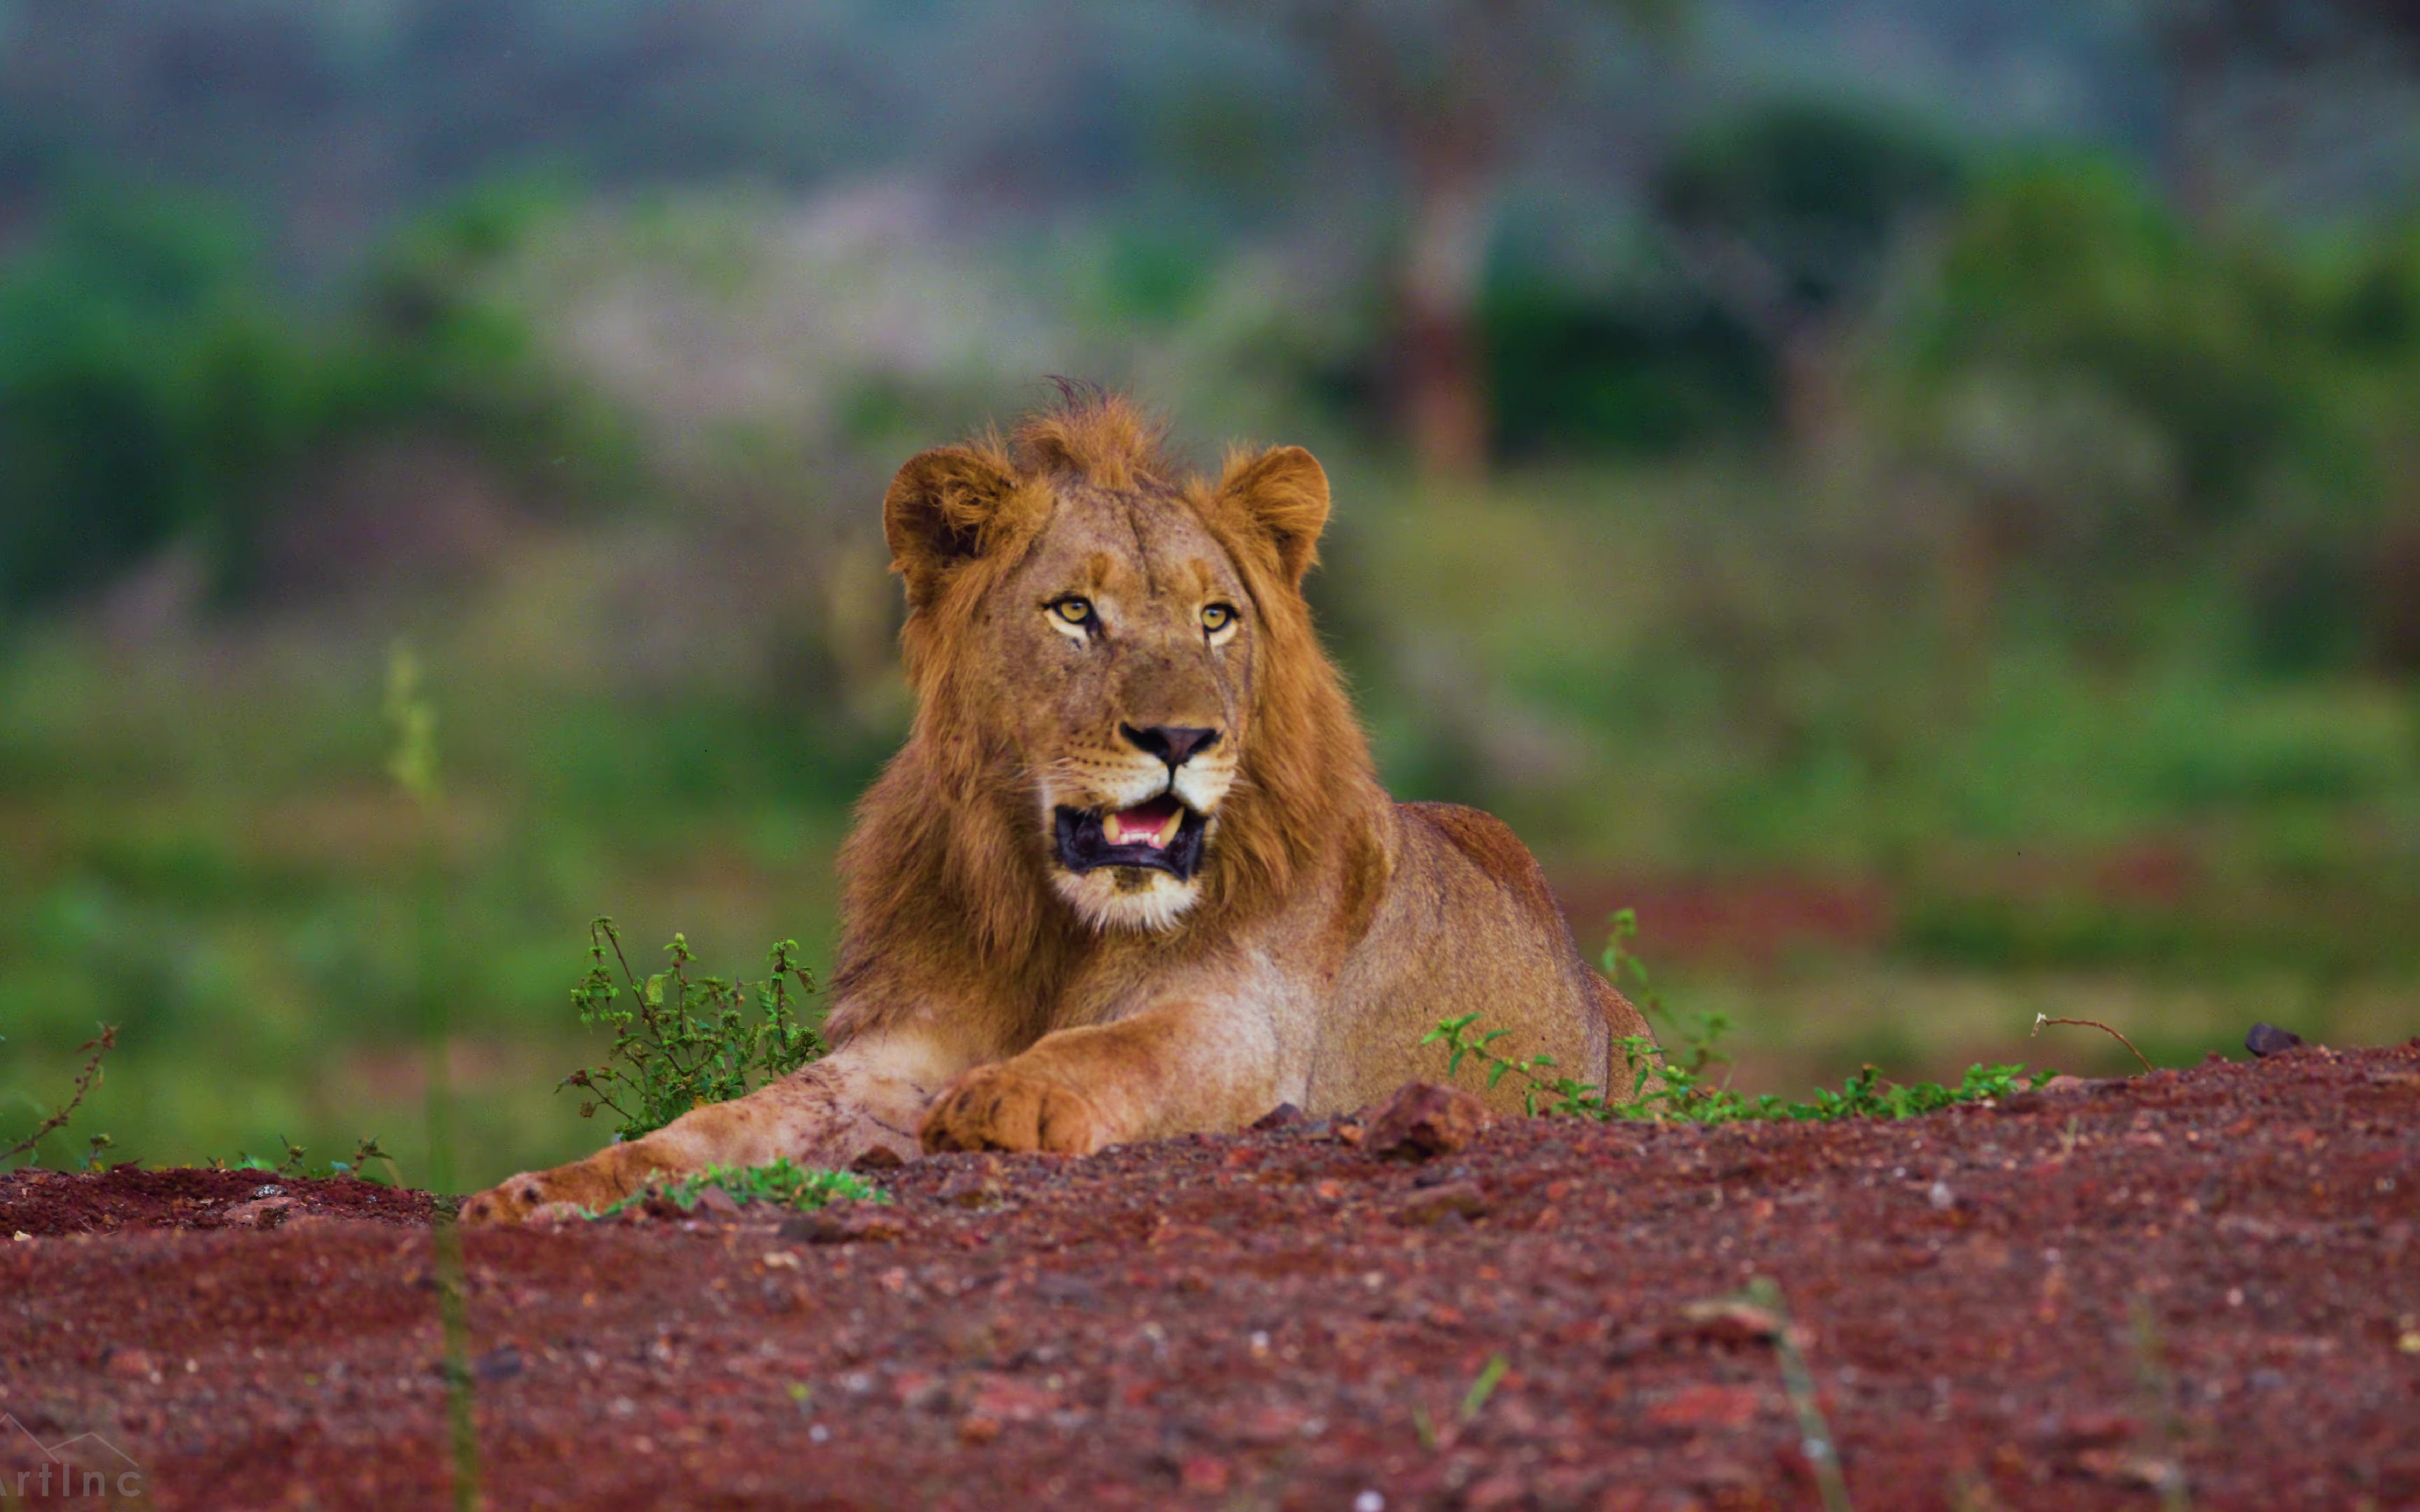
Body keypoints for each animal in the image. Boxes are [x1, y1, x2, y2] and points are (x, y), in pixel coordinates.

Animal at [462, 392, 1655, 1229]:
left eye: (1217, 618)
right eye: (1075, 613)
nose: (1179, 742)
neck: (1054, 916)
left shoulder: (1252, 1022)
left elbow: (1123, 1050)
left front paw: (1002, 1103)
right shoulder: (902, 1041)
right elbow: (737, 1118)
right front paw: (549, 1188)